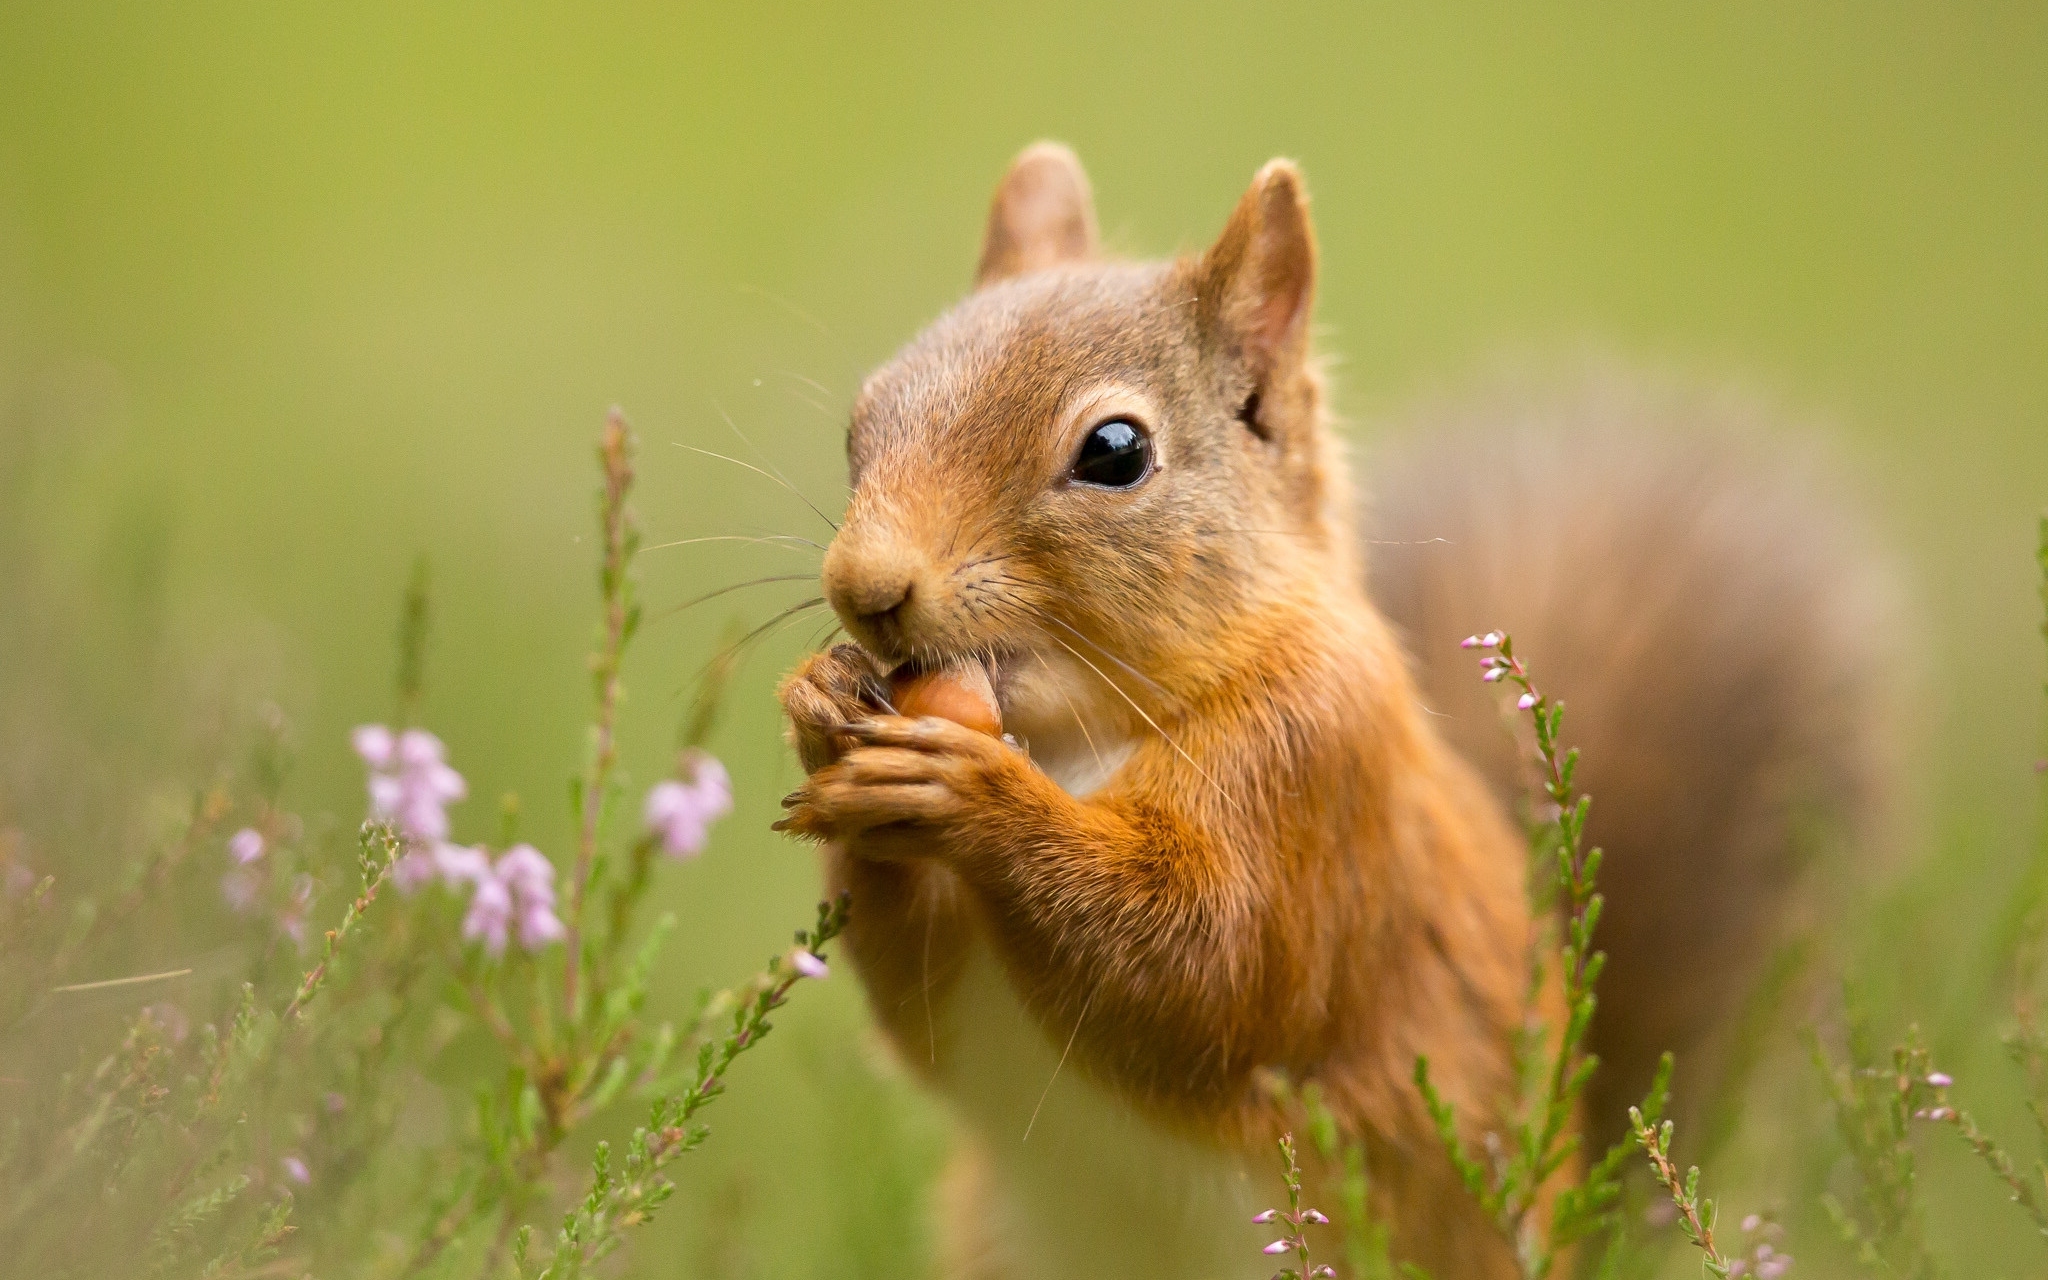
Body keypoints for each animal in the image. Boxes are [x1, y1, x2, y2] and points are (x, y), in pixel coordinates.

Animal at [774, 142, 1892, 1277]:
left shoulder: (1312, 769)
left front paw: (971, 792)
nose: (864, 587)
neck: (1077, 735)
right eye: (862, 418)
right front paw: (823, 710)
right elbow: (920, 1006)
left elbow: (1202, 969)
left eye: (1115, 451)